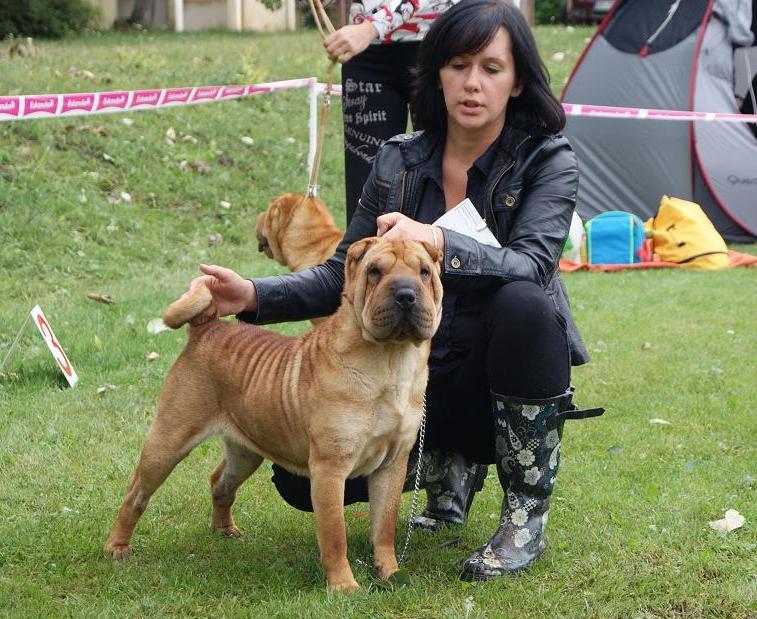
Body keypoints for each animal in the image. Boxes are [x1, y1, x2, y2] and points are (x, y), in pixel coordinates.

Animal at [102, 236, 442, 592]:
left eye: (424, 272)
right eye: (375, 271)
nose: (405, 293)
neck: (390, 362)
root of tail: (206, 328)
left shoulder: (392, 465)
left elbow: (384, 528)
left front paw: (390, 573)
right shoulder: (330, 469)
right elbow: (334, 534)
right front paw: (343, 586)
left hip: (245, 452)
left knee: (220, 482)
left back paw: (225, 531)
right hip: (168, 440)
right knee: (136, 493)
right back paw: (117, 547)